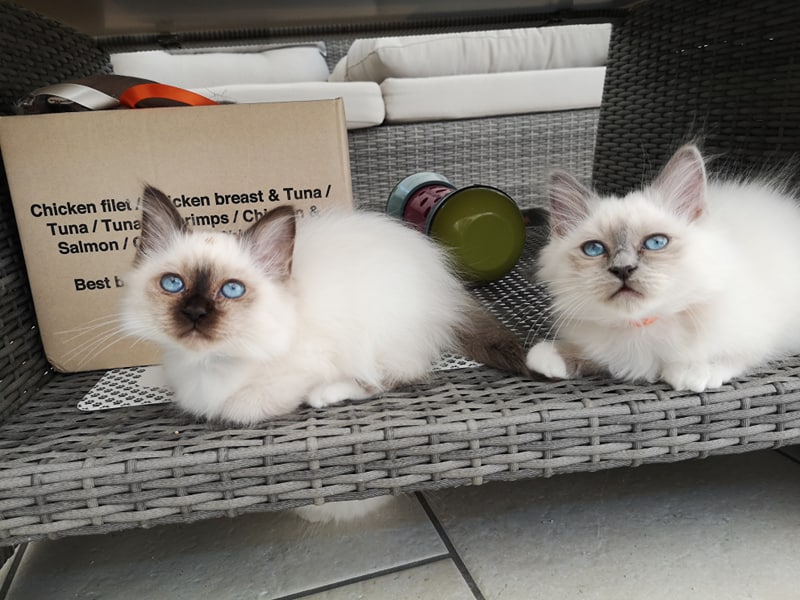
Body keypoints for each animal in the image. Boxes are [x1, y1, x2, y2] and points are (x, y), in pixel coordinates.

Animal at [122, 185, 528, 425]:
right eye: (173, 284)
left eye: (232, 290)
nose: (195, 313)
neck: (207, 363)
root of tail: (446, 282)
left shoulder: (304, 367)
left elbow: (239, 408)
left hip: (378, 335)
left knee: (390, 377)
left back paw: (324, 396)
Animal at [526, 143, 800, 392]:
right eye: (594, 249)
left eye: (656, 243)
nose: (623, 269)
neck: (642, 327)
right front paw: (550, 355)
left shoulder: (762, 328)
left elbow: (732, 353)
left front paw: (692, 371)